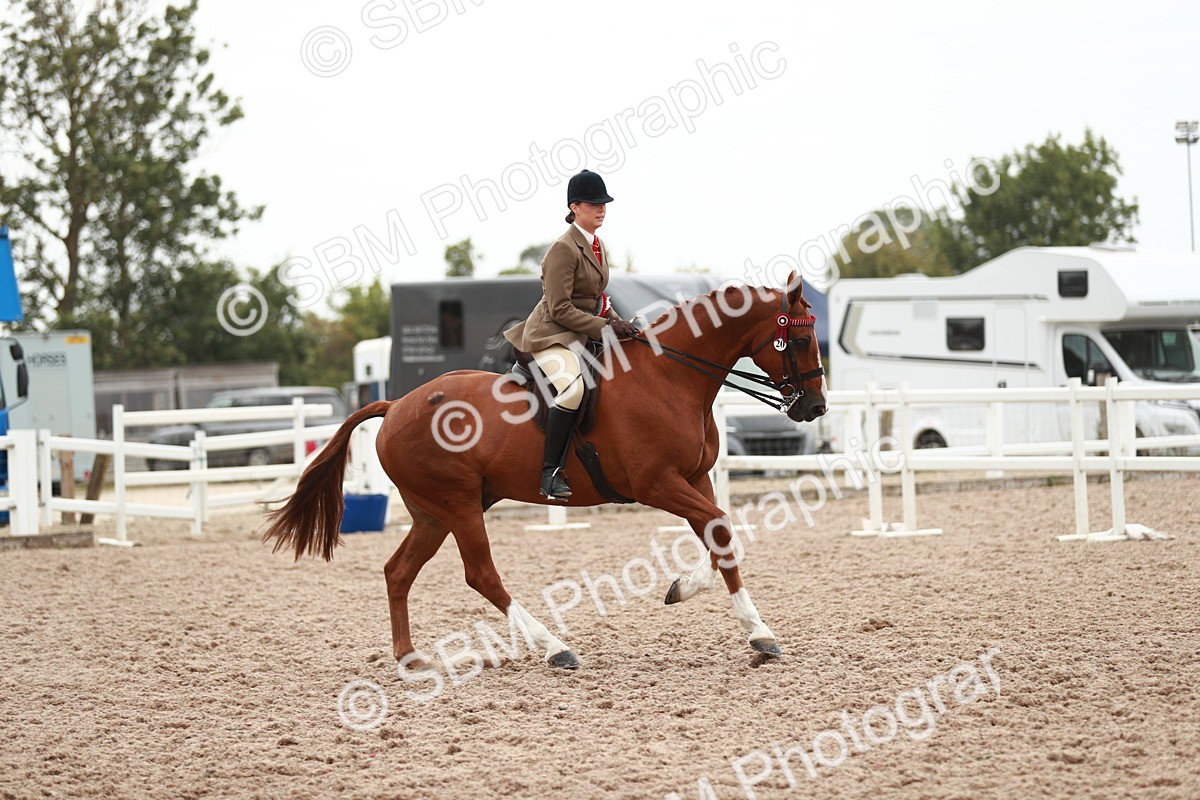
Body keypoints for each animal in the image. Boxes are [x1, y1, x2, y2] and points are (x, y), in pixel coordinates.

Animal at [262, 274, 828, 670]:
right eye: (800, 342)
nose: (815, 407)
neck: (670, 377)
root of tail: (395, 404)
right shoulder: (657, 485)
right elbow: (721, 528)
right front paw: (744, 624)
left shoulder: (695, 479)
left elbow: (720, 537)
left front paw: (726, 614)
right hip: (458, 505)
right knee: (480, 574)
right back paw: (555, 647)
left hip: (434, 512)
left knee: (398, 571)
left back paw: (409, 657)